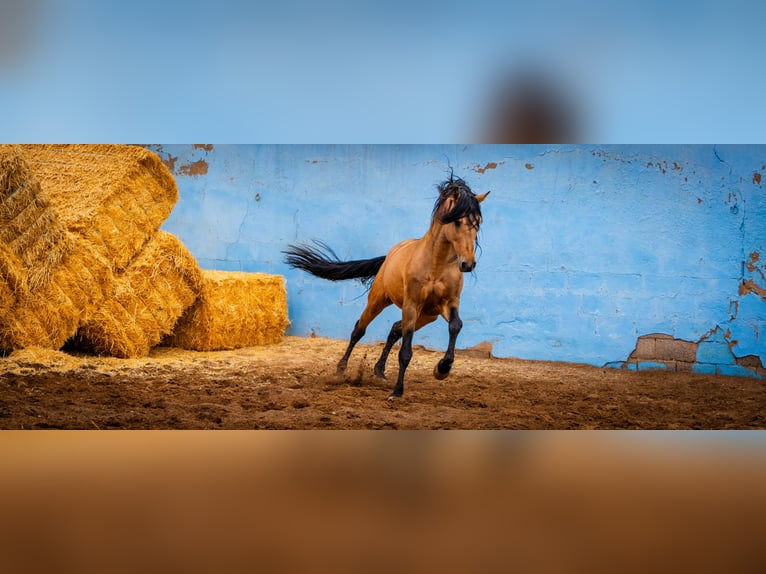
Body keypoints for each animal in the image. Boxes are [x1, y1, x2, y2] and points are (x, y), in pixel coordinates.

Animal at [284, 176, 492, 400]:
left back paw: (379, 370)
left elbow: (456, 325)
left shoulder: (448, 303)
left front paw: (442, 368)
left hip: (428, 315)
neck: (436, 265)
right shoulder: (411, 305)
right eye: (457, 221)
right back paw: (341, 370)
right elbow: (406, 352)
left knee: (395, 329)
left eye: (478, 223)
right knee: (359, 330)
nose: (468, 264)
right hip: (378, 301)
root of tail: (390, 255)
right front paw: (397, 391)